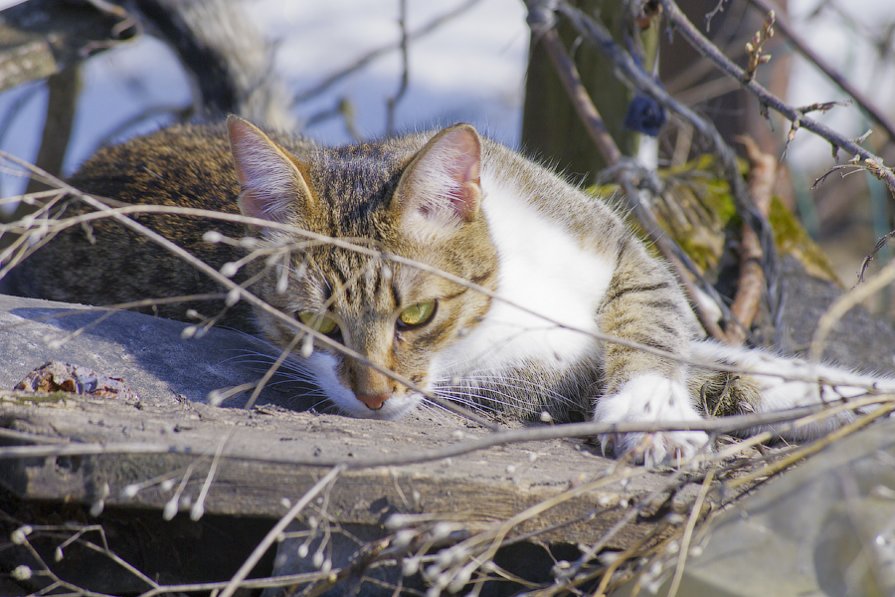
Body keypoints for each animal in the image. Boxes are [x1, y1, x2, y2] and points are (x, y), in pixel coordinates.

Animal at [7, 115, 888, 460]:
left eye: (417, 313)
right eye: (312, 324)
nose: (371, 394)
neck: (510, 290)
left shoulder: (615, 247)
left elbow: (660, 316)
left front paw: (649, 405)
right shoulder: (536, 387)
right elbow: (729, 376)